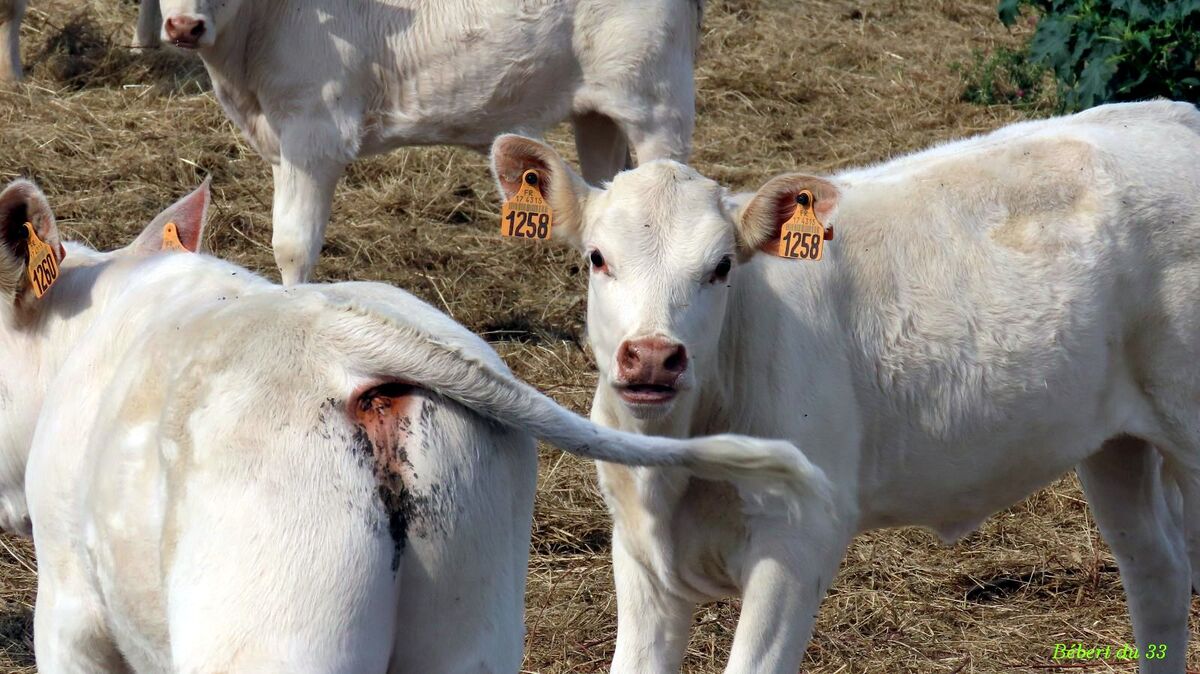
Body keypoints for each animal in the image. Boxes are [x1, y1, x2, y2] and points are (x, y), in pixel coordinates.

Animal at [489, 100, 1200, 671]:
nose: (655, 357)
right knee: (1159, 574)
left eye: (721, 267)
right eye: (597, 258)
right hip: (1114, 443)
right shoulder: (638, 553)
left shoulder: (798, 539)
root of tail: (1170, 113)